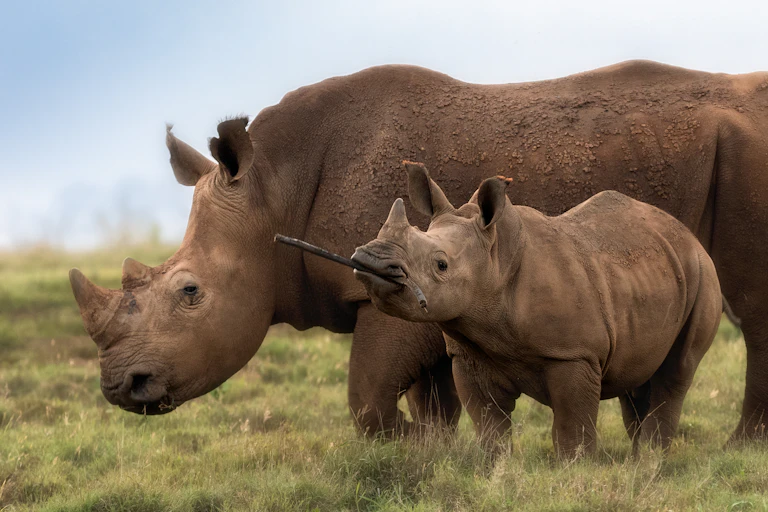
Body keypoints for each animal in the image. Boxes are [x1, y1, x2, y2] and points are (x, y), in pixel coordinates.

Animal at [352, 162, 722, 457]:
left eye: (441, 265)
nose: (372, 260)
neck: (496, 259)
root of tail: (687, 235)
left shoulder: (574, 354)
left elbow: (572, 427)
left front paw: (575, 470)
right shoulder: (470, 354)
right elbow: (490, 425)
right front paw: (493, 468)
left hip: (703, 274)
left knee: (676, 371)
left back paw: (651, 461)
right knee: (638, 375)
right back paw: (639, 461)